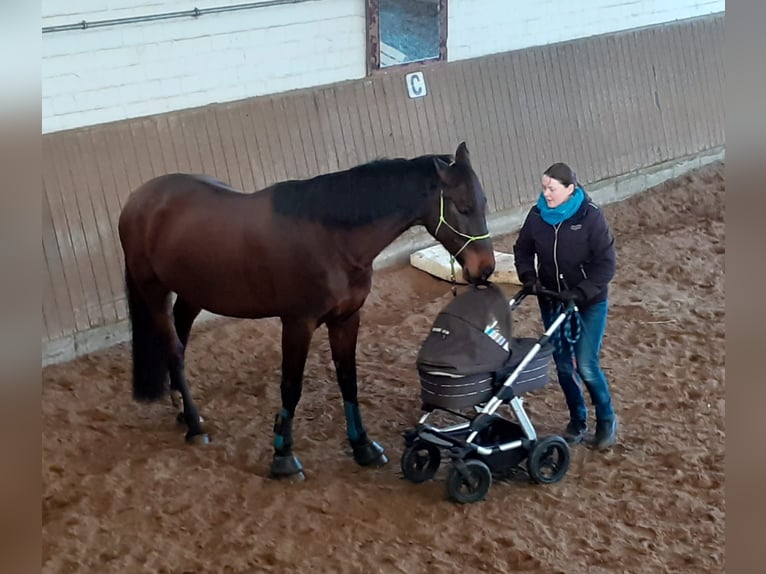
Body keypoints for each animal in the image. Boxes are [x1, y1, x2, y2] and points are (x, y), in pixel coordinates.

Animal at [116, 142, 496, 480]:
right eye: (462, 207)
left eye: (483, 203)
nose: (485, 268)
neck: (330, 238)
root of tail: (139, 200)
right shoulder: (298, 324)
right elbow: (291, 386)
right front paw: (283, 456)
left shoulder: (346, 319)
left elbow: (348, 381)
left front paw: (363, 447)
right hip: (154, 292)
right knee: (174, 350)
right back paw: (195, 425)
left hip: (193, 294)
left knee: (179, 338)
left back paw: (182, 411)